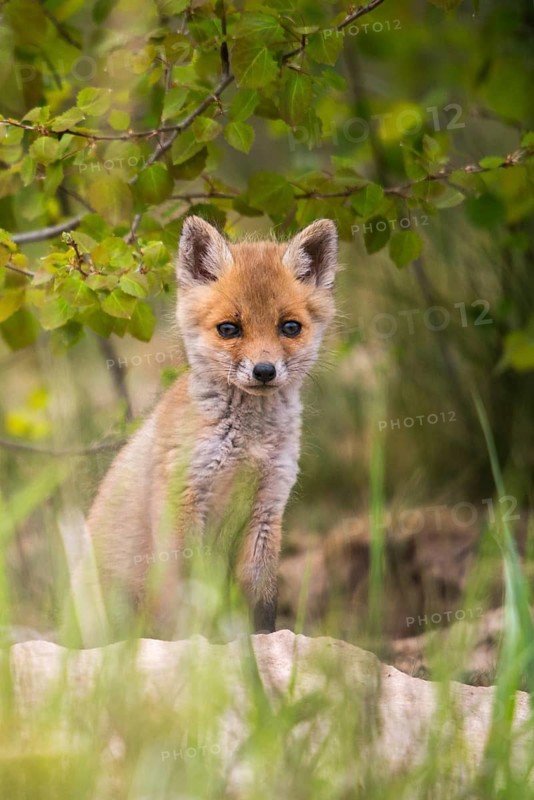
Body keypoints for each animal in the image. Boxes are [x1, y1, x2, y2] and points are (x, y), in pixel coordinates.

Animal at [86, 215, 338, 638]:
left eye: (289, 327)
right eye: (229, 329)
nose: (264, 371)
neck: (247, 443)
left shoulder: (268, 508)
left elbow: (262, 600)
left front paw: (263, 643)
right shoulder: (185, 500)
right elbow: (193, 593)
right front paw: (201, 645)